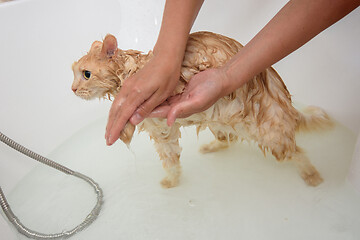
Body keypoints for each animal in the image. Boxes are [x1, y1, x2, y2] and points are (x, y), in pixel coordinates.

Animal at [71, 31, 334, 188]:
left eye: (86, 74)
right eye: (73, 73)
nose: (72, 89)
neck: (133, 70)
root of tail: (286, 103)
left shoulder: (160, 122)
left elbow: (170, 160)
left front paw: (169, 182)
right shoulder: (162, 128)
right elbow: (171, 158)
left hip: (268, 133)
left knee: (296, 152)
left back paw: (312, 176)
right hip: (220, 120)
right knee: (228, 140)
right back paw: (210, 147)